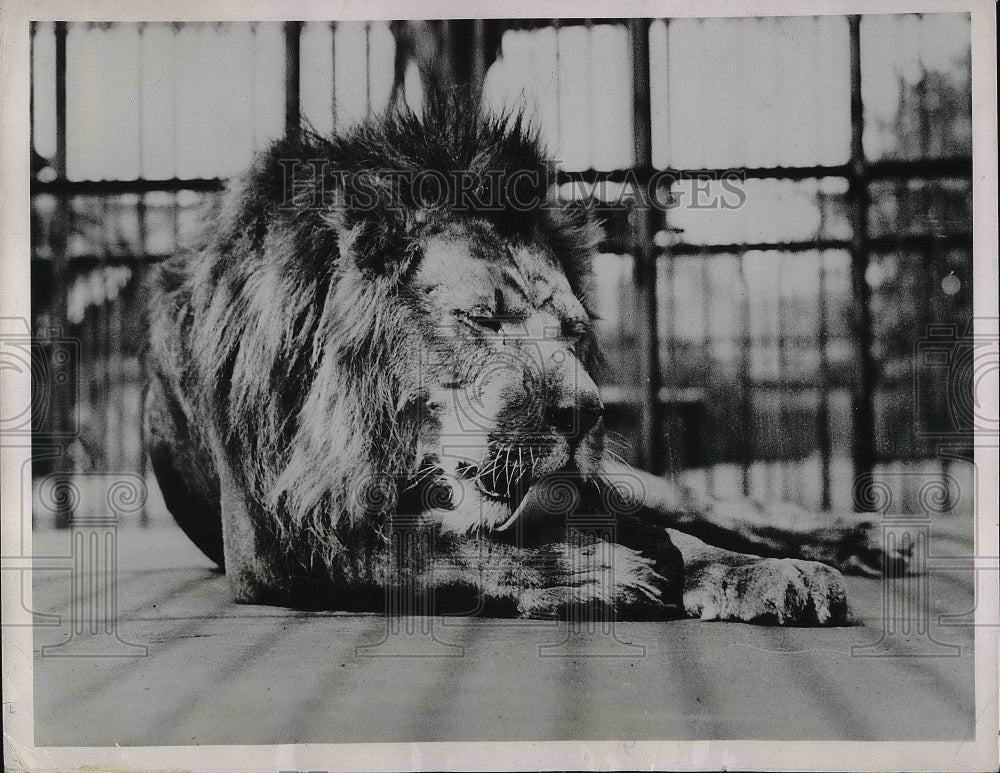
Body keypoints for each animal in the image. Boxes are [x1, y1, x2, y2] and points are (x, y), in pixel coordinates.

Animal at [143, 98, 900, 628]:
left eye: (572, 332)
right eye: (483, 319)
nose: (585, 412)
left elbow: (683, 536)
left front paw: (761, 572)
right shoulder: (275, 538)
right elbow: (428, 549)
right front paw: (600, 569)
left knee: (702, 504)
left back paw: (855, 539)